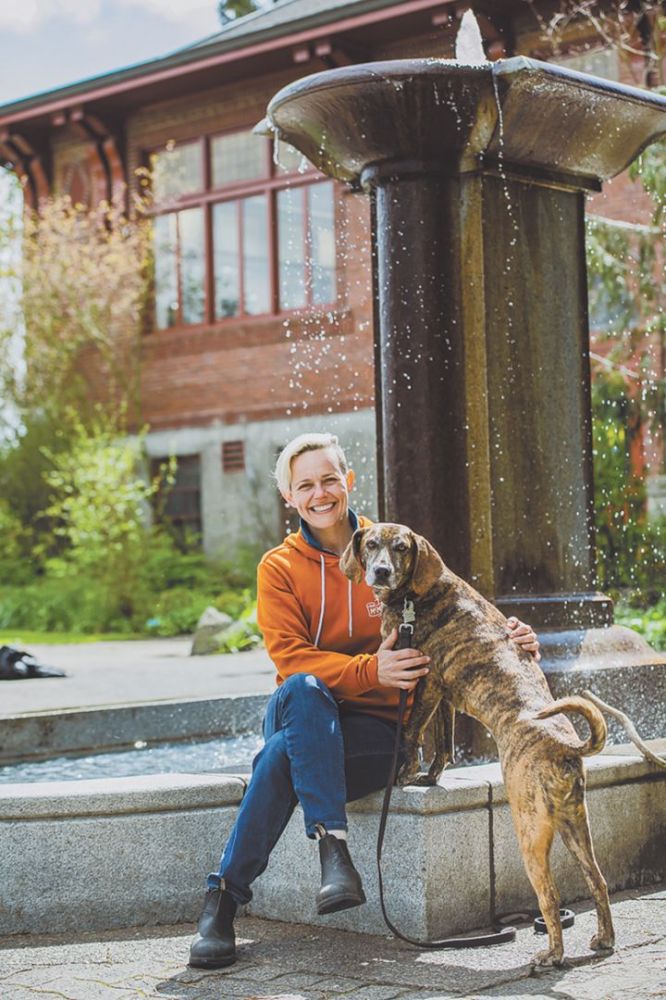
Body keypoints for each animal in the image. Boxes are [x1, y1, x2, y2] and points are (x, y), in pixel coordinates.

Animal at [340, 524, 616, 968]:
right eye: (371, 545)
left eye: (400, 548)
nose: (380, 571)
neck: (416, 596)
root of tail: (563, 745)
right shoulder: (444, 695)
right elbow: (443, 745)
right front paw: (429, 778)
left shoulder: (423, 680)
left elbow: (411, 735)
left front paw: (403, 776)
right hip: (576, 826)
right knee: (598, 880)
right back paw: (604, 939)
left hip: (530, 829)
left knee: (550, 896)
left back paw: (551, 955)